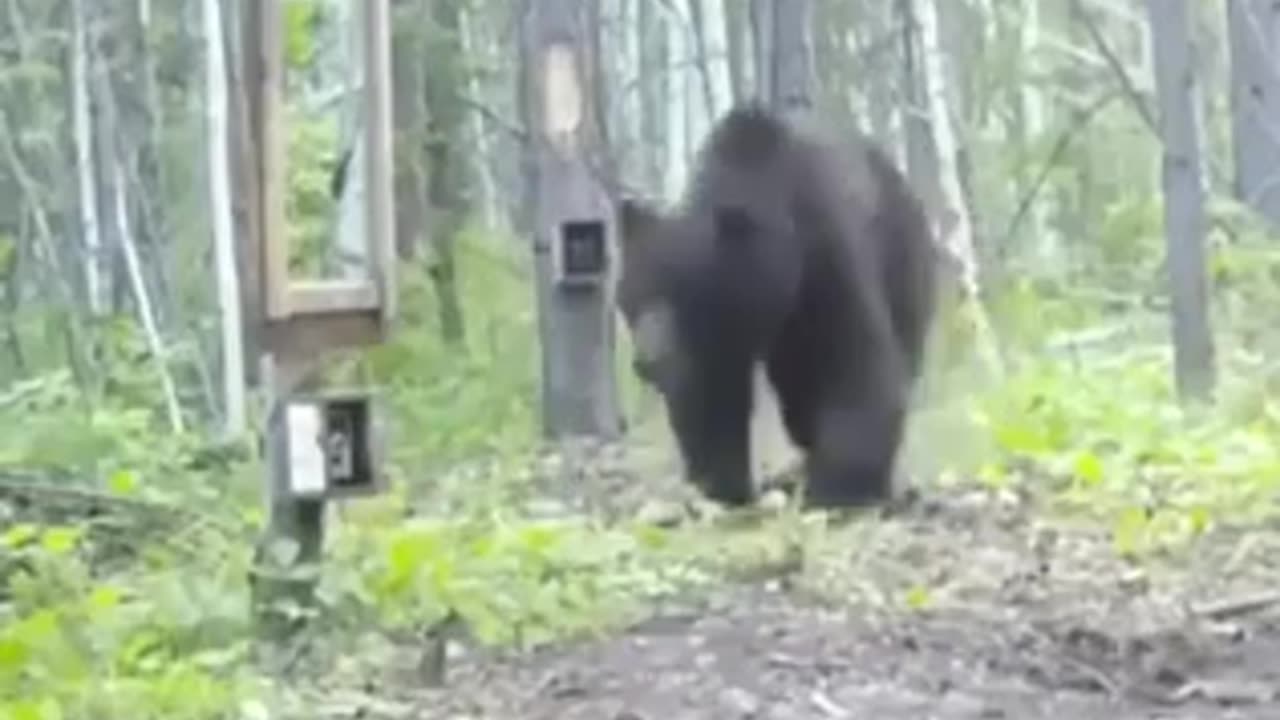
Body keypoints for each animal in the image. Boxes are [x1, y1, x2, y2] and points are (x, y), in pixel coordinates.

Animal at [614, 103, 938, 509]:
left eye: (684, 295)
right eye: (632, 298)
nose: (648, 359)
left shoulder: (827, 252)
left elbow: (857, 365)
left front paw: (837, 489)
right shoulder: (714, 347)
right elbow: (711, 398)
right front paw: (722, 485)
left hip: (903, 259)